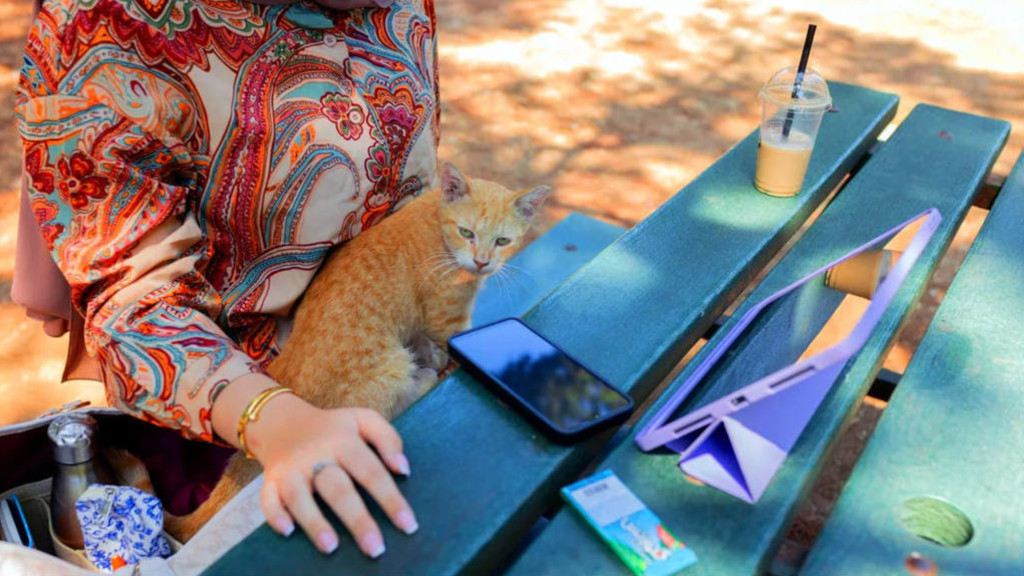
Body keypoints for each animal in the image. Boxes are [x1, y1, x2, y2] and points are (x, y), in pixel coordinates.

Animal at [164, 163, 551, 541]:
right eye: (467, 232)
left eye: (503, 241)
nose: (483, 262)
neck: (437, 220)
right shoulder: (447, 320)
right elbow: (454, 343)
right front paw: (455, 360)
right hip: (391, 369)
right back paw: (423, 379)